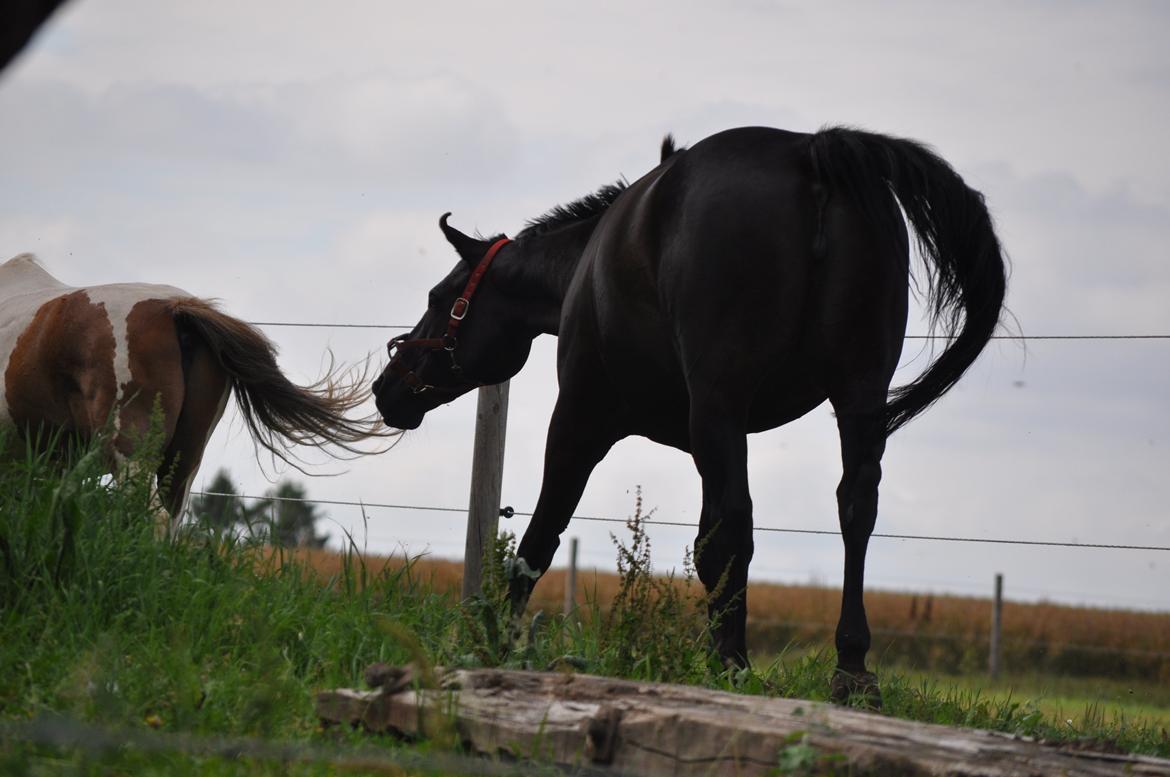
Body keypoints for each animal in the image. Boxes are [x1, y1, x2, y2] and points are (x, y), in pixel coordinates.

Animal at [372, 127, 1006, 702]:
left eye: (439, 299)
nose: (386, 388)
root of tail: (811, 150)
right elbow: (707, 545)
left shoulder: (582, 418)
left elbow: (539, 540)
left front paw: (492, 641)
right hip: (857, 397)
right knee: (854, 509)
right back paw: (849, 670)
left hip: (720, 404)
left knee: (739, 525)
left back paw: (737, 665)